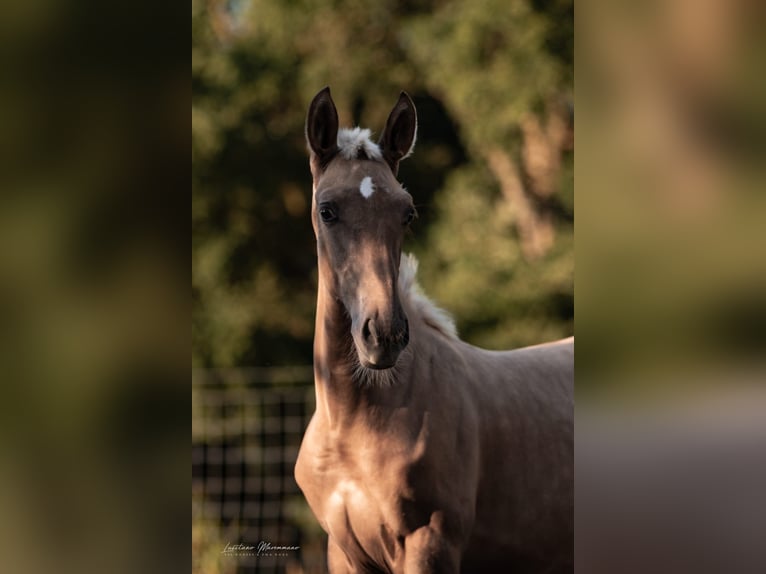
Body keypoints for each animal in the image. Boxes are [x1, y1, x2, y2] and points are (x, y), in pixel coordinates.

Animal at [296, 88, 572, 572]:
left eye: (406, 213)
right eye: (326, 211)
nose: (384, 335)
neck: (355, 424)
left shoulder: (430, 543)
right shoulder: (342, 553)